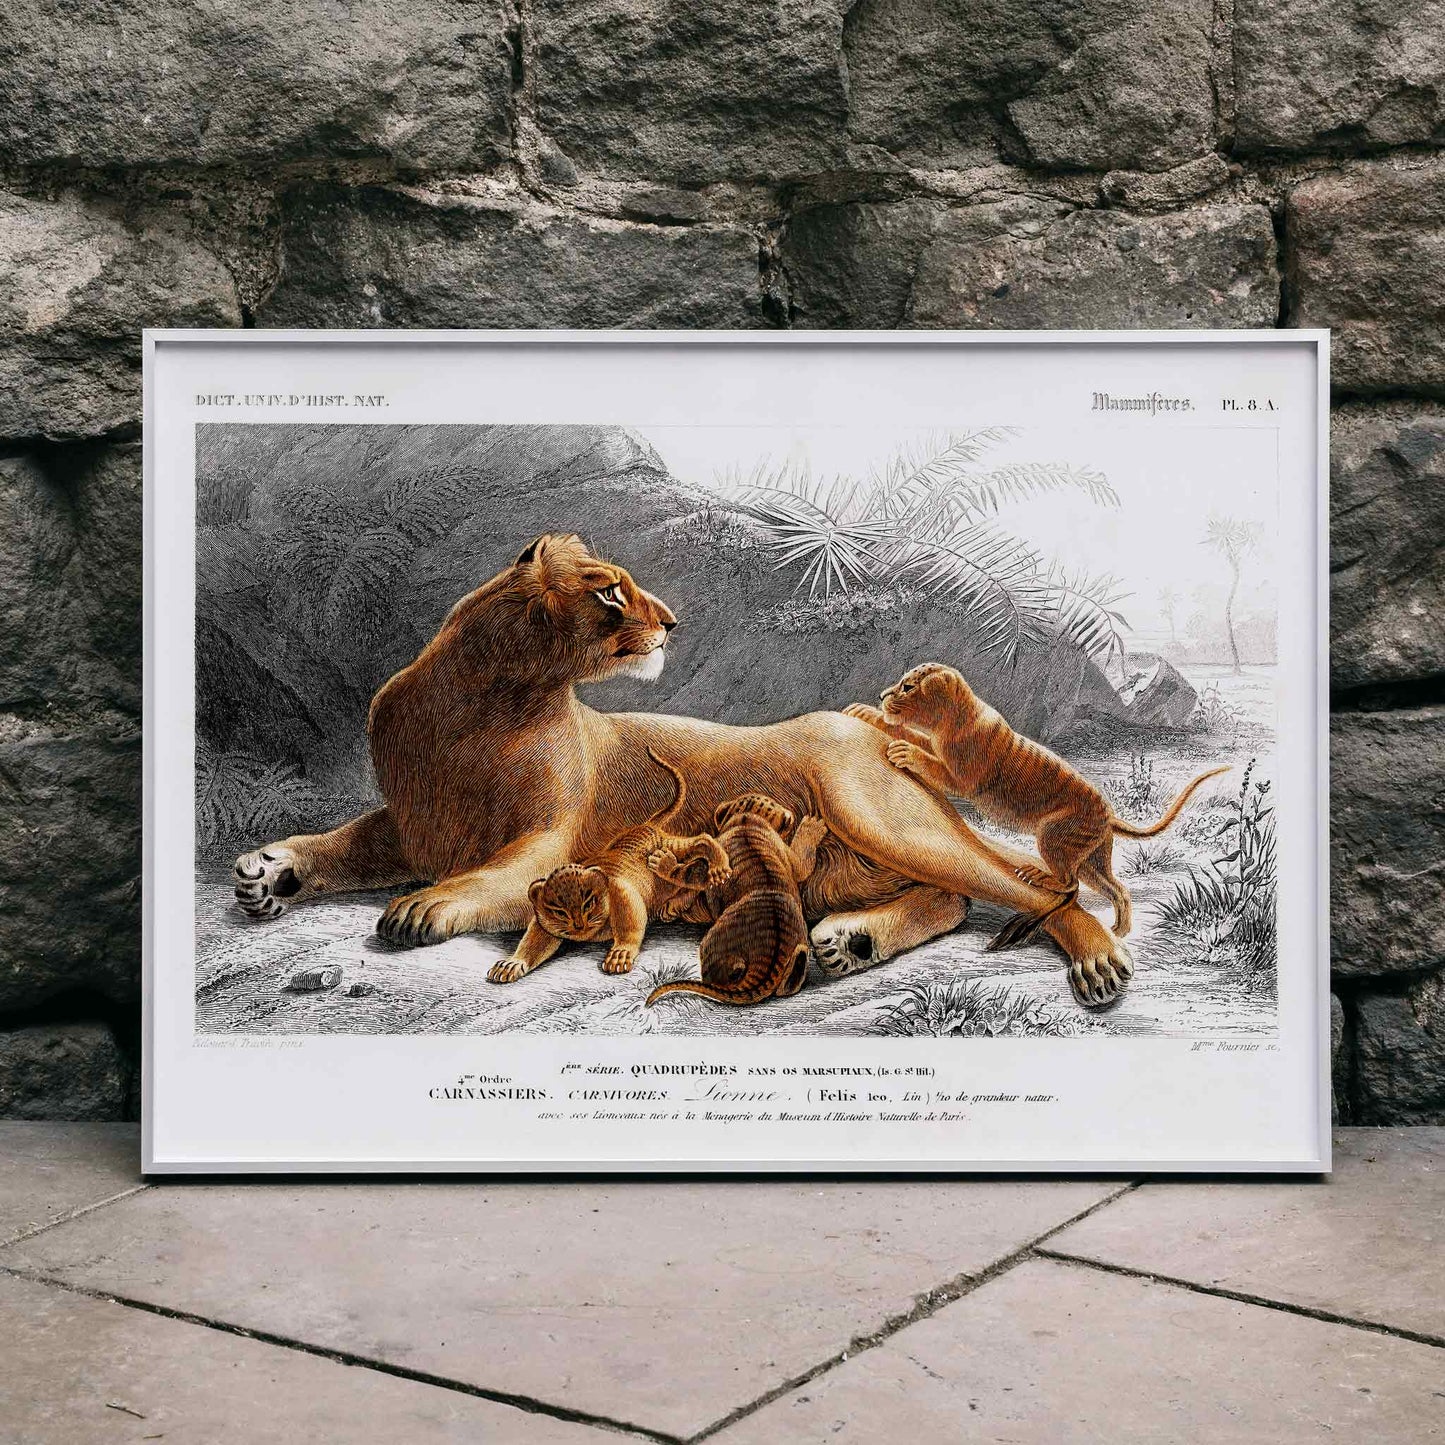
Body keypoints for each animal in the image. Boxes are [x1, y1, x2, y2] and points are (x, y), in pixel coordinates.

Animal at [232, 534, 1134, 1007]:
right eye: (608, 590)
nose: (669, 621)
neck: (483, 695)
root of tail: (865, 720)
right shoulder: (414, 823)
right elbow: (342, 842)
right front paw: (270, 872)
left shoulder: (546, 840)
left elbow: (485, 877)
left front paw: (422, 907)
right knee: (951, 898)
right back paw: (850, 941)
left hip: (880, 817)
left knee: (1023, 889)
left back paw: (1095, 962)